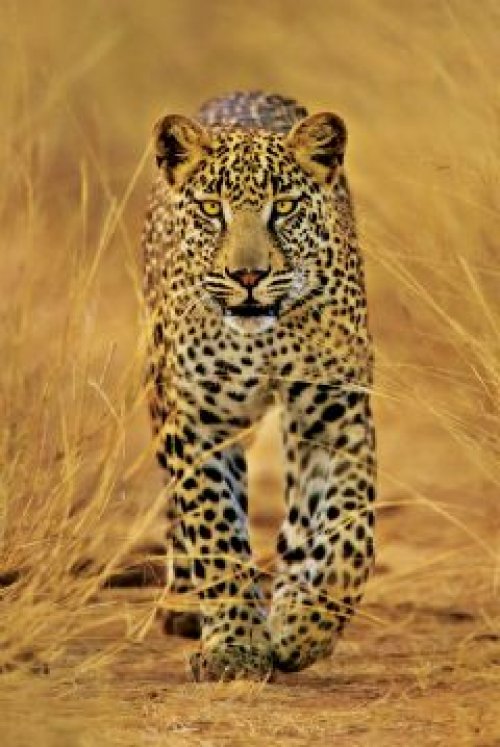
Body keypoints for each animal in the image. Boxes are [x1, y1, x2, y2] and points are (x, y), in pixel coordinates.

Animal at [141, 91, 376, 681]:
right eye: (211, 209)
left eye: (285, 207)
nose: (247, 276)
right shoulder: (199, 422)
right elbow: (216, 533)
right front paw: (233, 647)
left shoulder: (335, 415)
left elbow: (350, 535)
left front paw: (303, 627)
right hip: (159, 396)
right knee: (178, 508)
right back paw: (183, 603)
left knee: (300, 520)